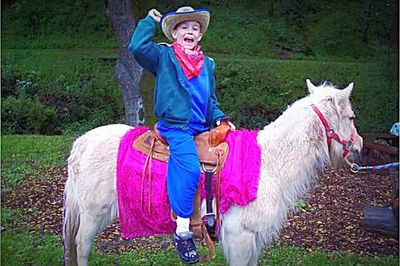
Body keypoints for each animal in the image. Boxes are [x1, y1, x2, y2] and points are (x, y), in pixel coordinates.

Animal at [61, 80, 362, 264]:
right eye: (351, 117)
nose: (359, 147)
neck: (267, 164)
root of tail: (80, 144)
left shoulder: (253, 240)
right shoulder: (240, 237)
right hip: (92, 214)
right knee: (81, 247)